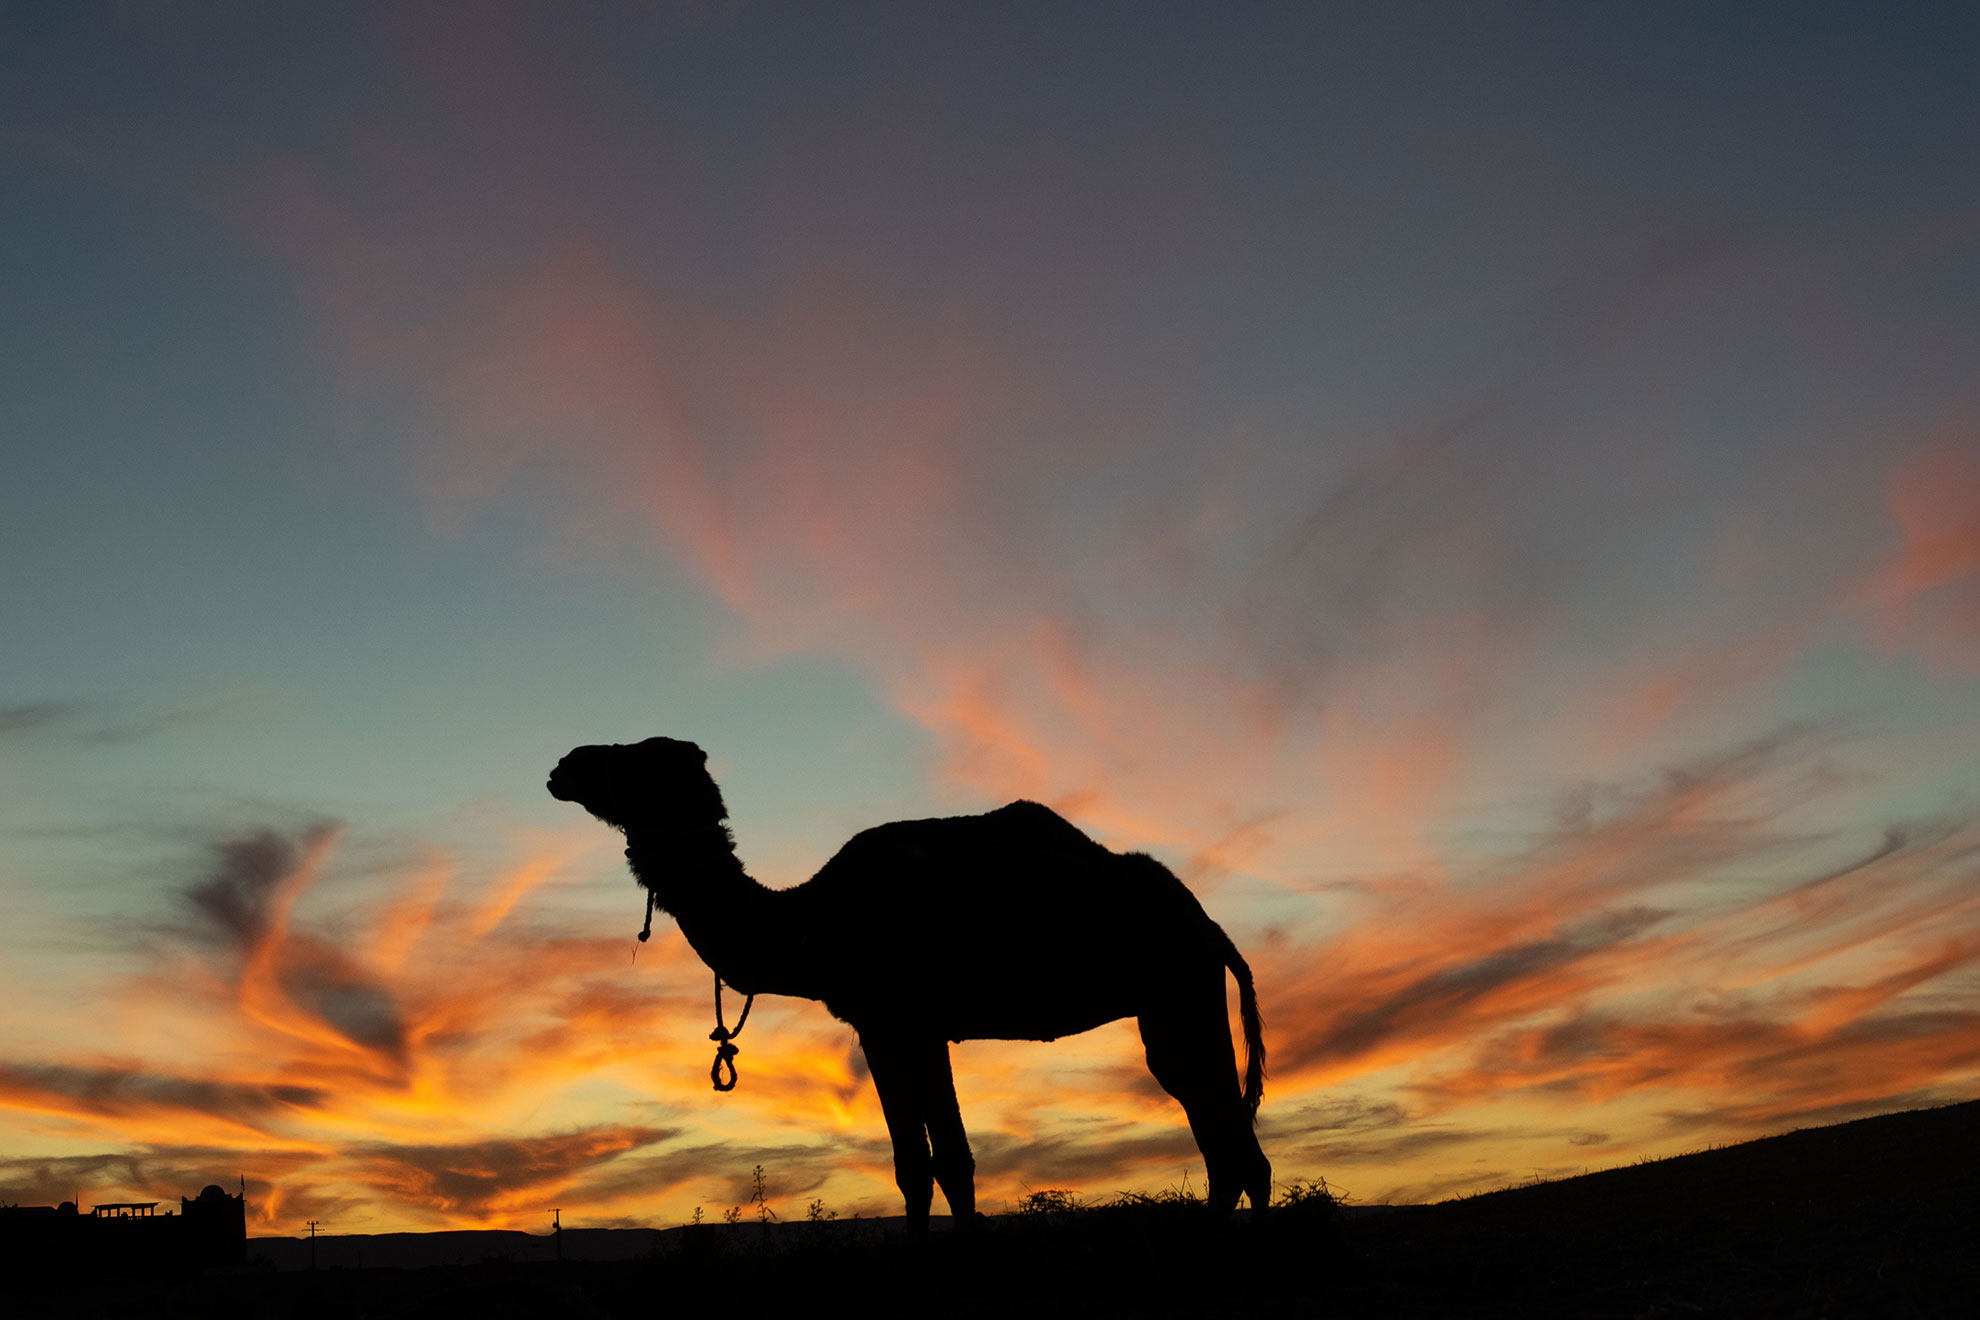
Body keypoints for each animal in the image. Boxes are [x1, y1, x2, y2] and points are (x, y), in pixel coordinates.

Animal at [546, 735, 1271, 1228]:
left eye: (639, 761)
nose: (564, 765)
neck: (810, 922)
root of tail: (1209, 926)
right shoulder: (893, 1029)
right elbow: (920, 1167)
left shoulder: (908, 1022)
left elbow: (943, 1161)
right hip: (1172, 1005)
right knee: (1223, 1144)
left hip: (1181, 992)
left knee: (1237, 1149)